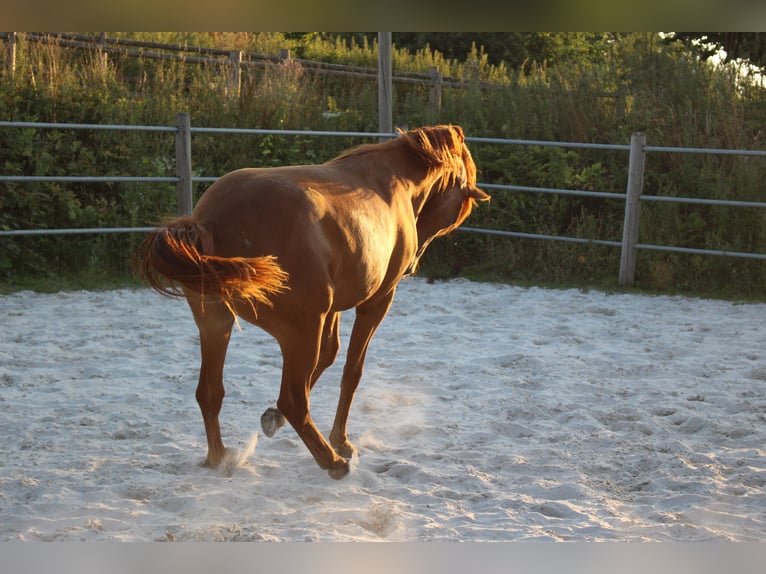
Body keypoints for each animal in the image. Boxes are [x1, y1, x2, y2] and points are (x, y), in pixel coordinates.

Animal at [138, 124, 489, 479]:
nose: (414, 264)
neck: (392, 180)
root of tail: (209, 221)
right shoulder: (376, 301)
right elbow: (351, 371)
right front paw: (341, 441)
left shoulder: (332, 310)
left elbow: (329, 356)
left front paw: (272, 419)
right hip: (301, 330)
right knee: (292, 399)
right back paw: (333, 462)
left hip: (217, 325)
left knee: (211, 392)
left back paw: (220, 458)